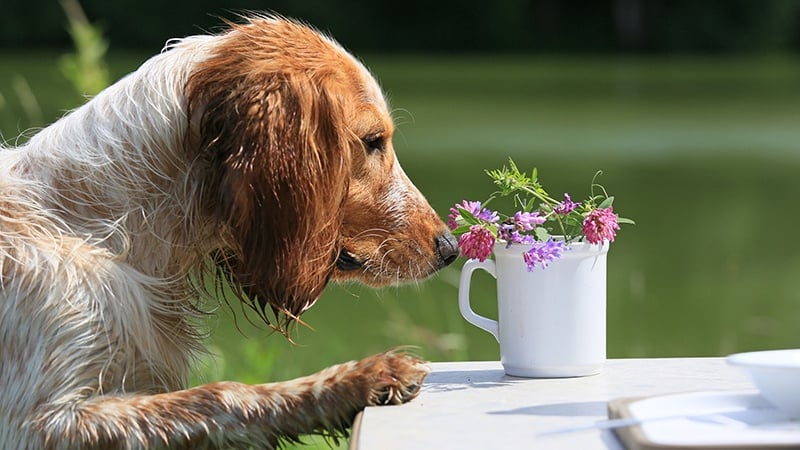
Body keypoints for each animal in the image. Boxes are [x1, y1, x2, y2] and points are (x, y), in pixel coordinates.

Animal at [0, 15, 460, 448]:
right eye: (373, 140)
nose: (451, 246)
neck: (105, 225)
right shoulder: (39, 424)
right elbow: (222, 393)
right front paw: (361, 376)